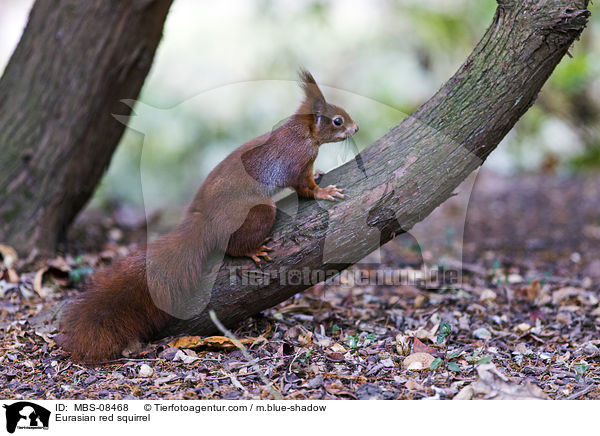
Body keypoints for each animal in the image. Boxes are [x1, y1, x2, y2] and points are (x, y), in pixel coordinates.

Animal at [57, 70, 356, 362]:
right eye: (338, 120)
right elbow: (304, 186)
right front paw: (323, 191)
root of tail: (204, 225)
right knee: (236, 245)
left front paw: (321, 175)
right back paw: (252, 250)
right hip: (257, 213)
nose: (356, 128)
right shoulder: (297, 160)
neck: (303, 130)